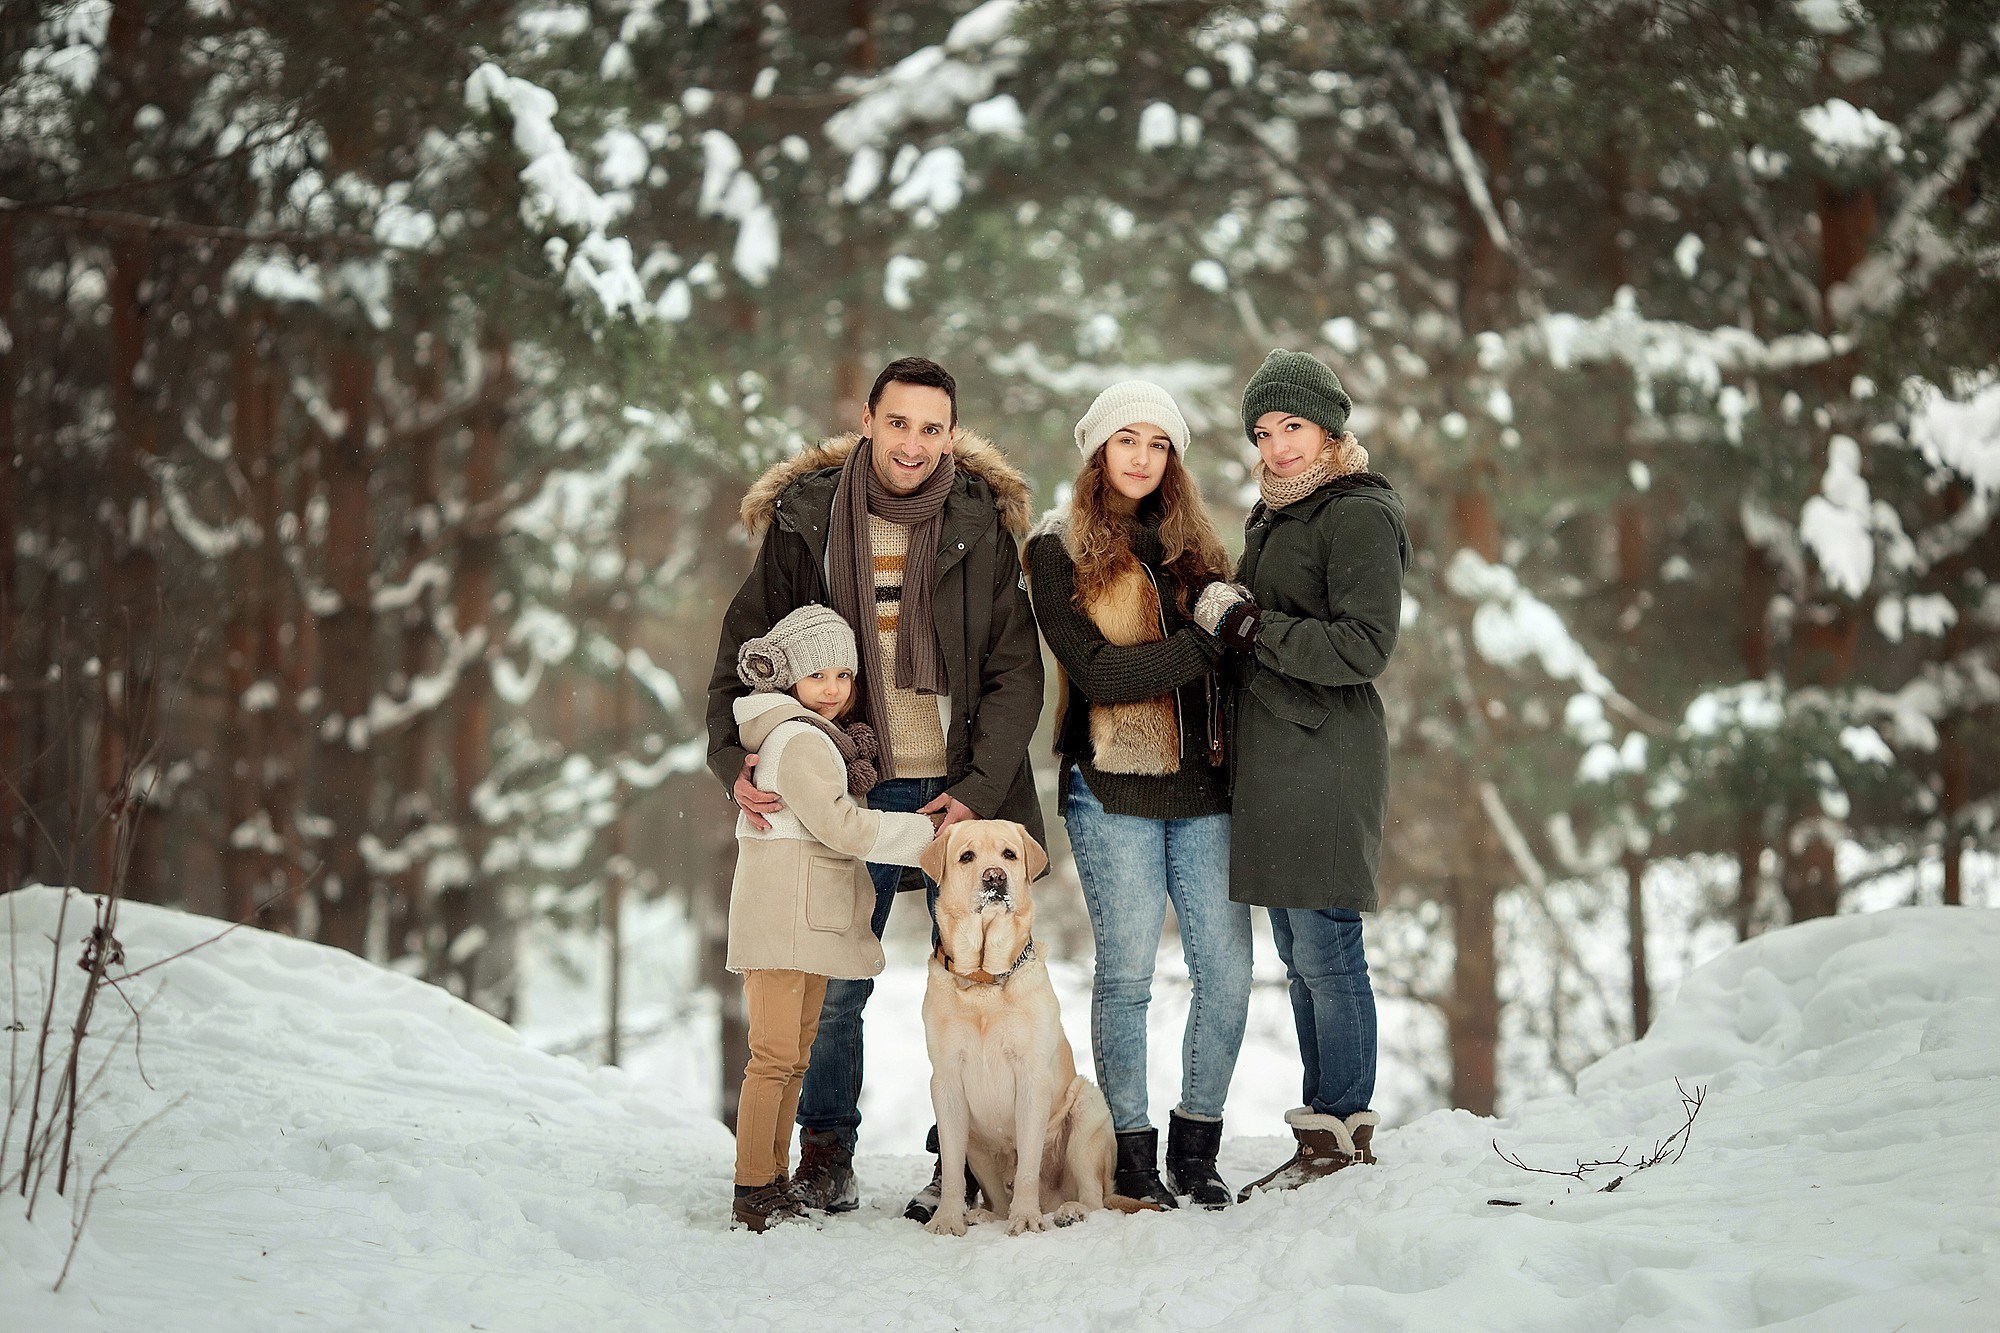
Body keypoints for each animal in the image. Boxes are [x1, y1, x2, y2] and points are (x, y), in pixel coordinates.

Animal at [916, 820, 1136, 1232]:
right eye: (966, 856)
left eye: (1009, 855)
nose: (995, 877)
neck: (985, 981)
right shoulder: (946, 1082)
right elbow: (952, 1169)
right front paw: (948, 1219)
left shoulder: (1033, 1079)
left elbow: (1028, 1166)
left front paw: (1026, 1219)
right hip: (977, 1144)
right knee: (996, 1196)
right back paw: (983, 1215)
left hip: (1088, 1112)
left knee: (1095, 1199)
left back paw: (1068, 1211)